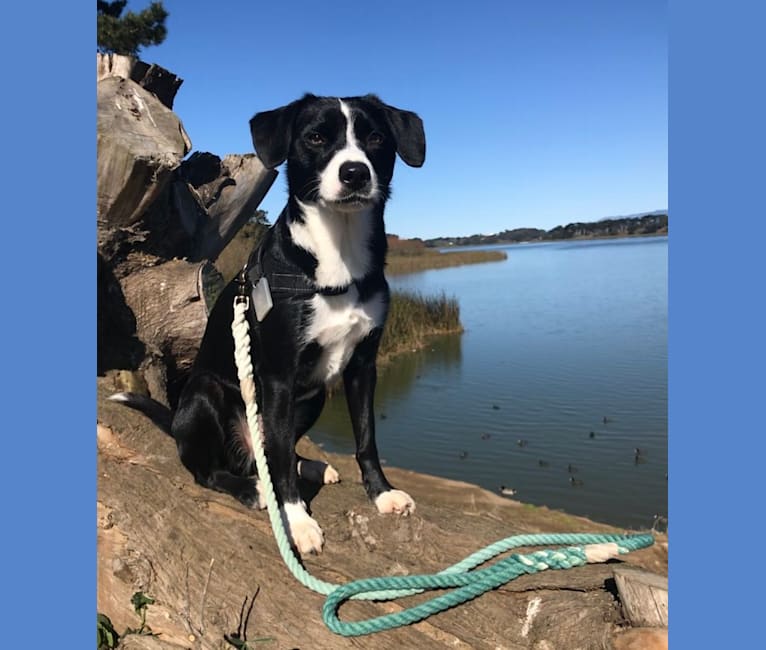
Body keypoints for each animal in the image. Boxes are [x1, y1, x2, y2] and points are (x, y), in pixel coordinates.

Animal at [112, 93, 426, 556]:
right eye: (316, 137)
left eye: (375, 137)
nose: (354, 172)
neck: (339, 254)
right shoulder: (279, 376)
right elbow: (278, 457)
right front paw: (298, 522)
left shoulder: (362, 367)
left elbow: (366, 438)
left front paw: (381, 493)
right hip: (205, 393)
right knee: (211, 470)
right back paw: (251, 488)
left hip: (315, 395)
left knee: (278, 450)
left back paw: (308, 465)